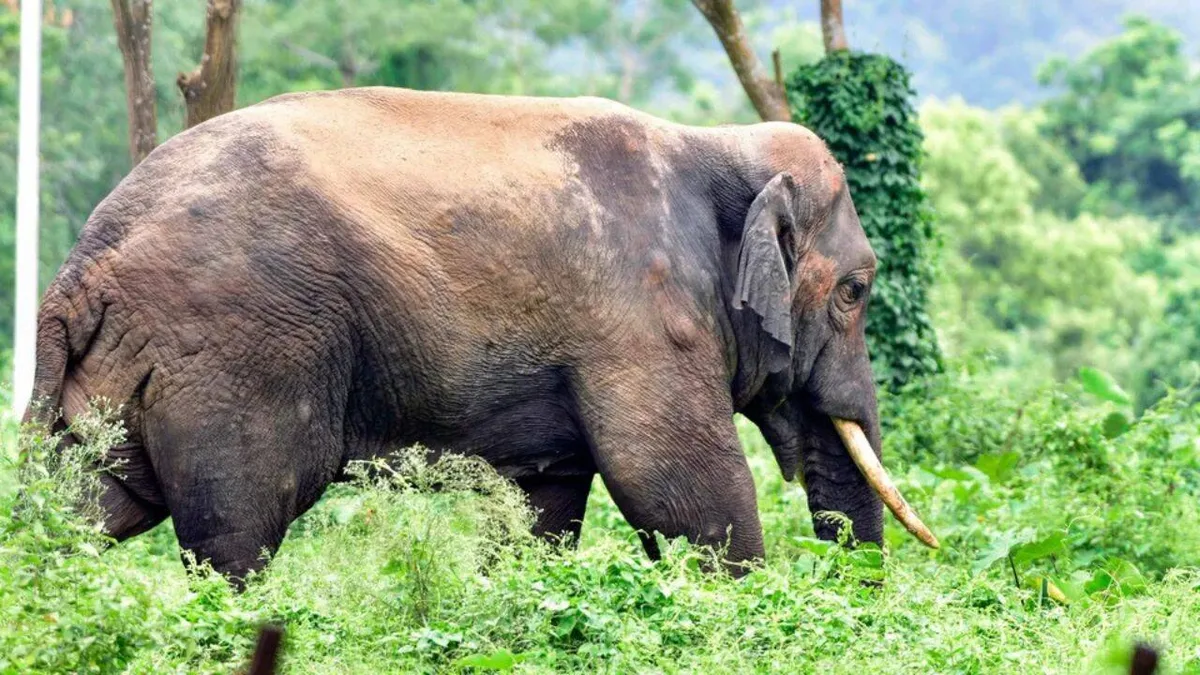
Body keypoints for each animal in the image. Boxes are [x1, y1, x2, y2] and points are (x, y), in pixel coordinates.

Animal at [26, 87, 936, 585]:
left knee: (90, 506)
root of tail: (81, 265)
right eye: (855, 291)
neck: (717, 142)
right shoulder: (642, 317)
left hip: (123, 370)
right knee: (236, 530)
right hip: (237, 350)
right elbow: (677, 487)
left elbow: (546, 504)